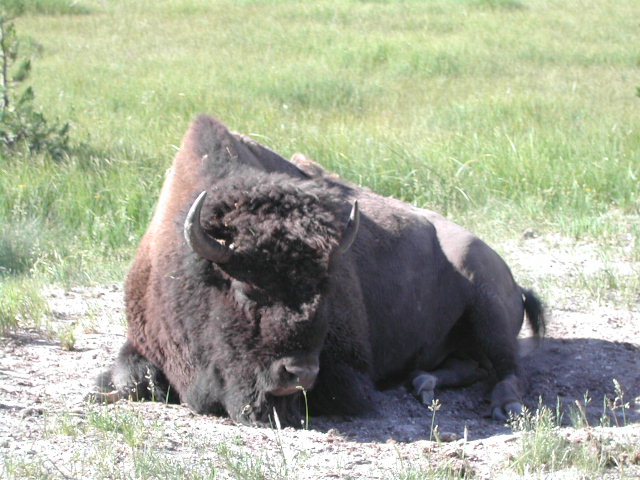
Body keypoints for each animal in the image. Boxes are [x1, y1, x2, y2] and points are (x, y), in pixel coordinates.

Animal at [92, 114, 544, 426]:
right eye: (246, 289)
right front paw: (101, 392)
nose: (298, 372)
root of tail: (509, 275)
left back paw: (505, 407)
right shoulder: (144, 338)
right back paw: (422, 382)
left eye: (326, 287)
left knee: (509, 367)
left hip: (487, 301)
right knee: (470, 365)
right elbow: (129, 379)